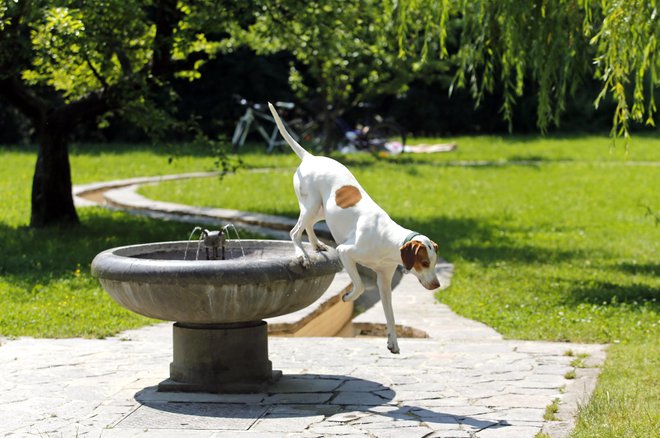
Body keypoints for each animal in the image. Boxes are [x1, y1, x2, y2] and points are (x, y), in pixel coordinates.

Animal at [266, 102, 440, 352]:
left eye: (434, 264)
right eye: (424, 263)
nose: (436, 285)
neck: (388, 240)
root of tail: (310, 157)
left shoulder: (384, 281)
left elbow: (390, 314)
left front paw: (393, 341)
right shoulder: (346, 253)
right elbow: (359, 286)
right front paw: (347, 297)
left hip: (321, 210)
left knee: (308, 226)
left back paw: (316, 245)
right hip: (311, 205)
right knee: (294, 231)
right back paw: (302, 254)